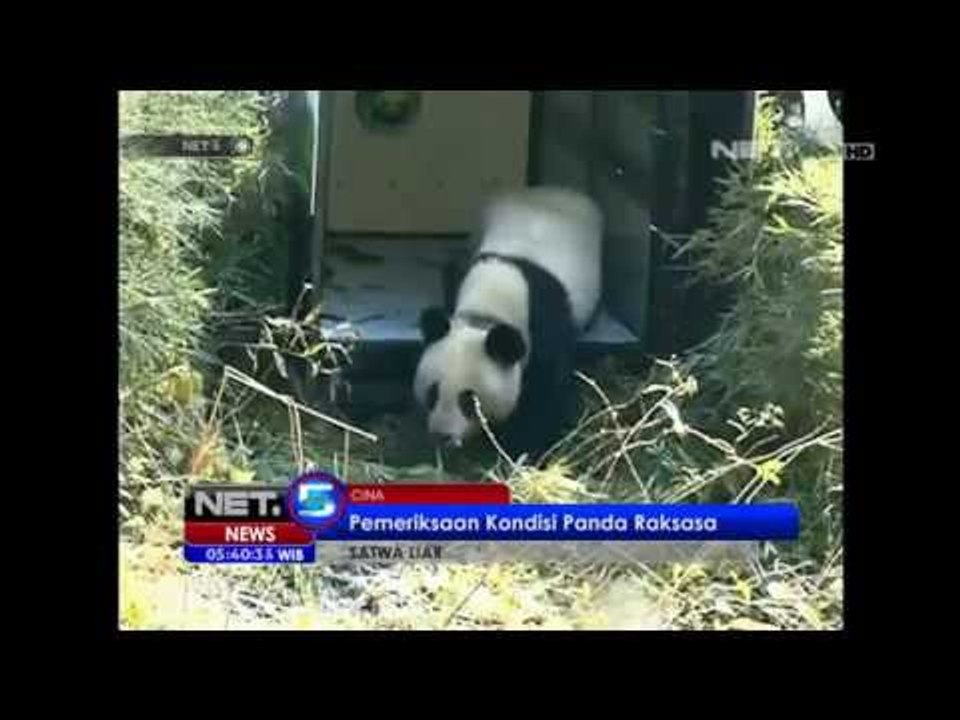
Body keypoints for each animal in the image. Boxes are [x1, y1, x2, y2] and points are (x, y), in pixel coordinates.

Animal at [413, 186, 603, 461]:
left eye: (469, 400)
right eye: (432, 392)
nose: (442, 435)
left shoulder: (545, 323)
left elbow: (545, 392)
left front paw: (523, 449)